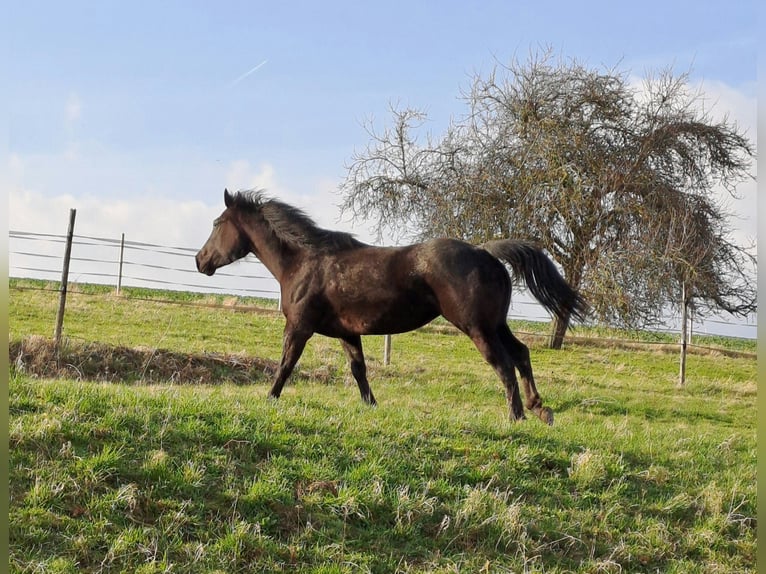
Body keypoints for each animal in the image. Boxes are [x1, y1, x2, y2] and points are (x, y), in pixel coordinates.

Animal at [196, 189, 588, 424]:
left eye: (217, 223)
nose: (201, 261)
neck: (303, 262)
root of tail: (486, 252)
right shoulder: (347, 333)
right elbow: (359, 370)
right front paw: (371, 405)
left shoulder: (299, 328)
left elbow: (285, 364)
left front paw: (270, 398)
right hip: (496, 324)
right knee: (521, 354)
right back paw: (540, 409)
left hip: (477, 328)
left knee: (504, 364)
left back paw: (517, 416)